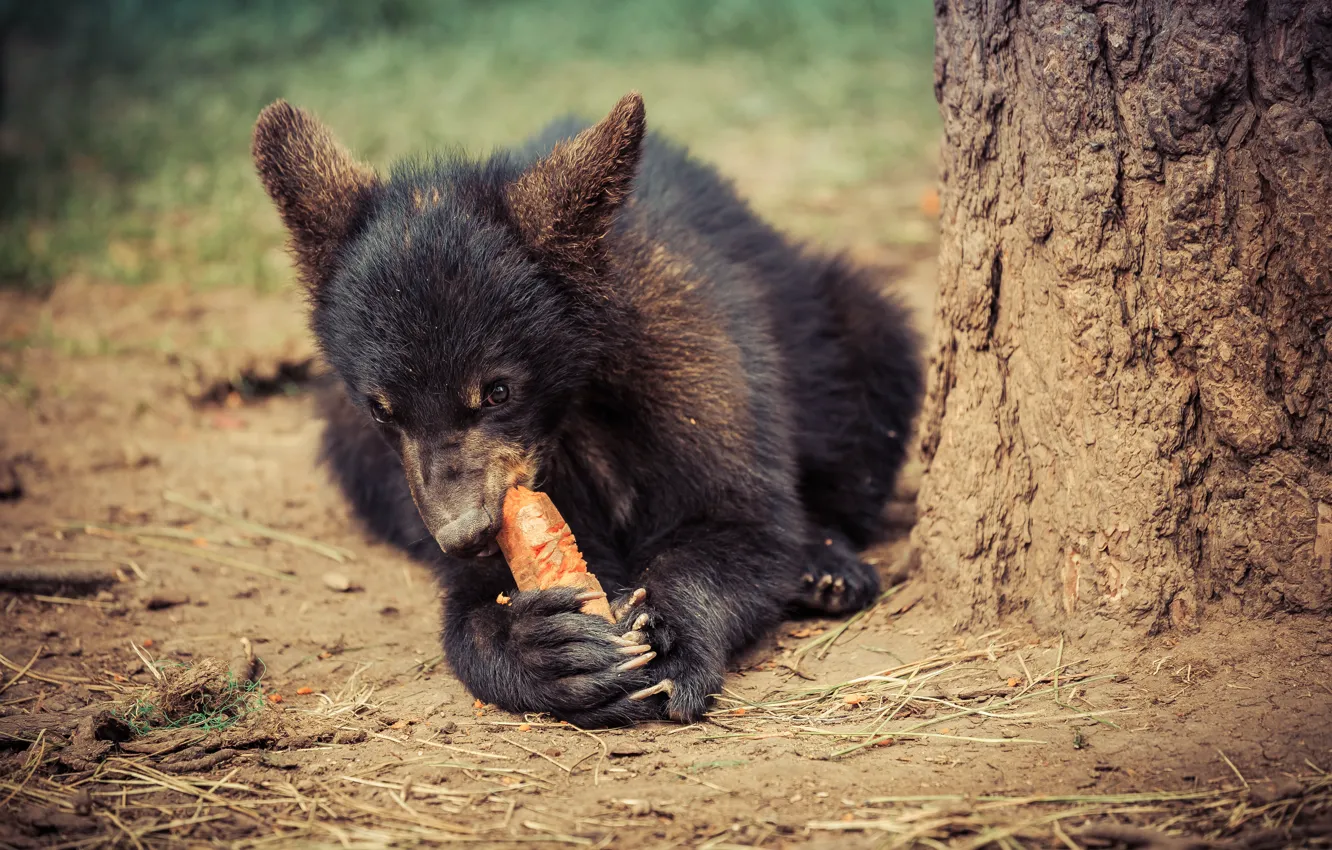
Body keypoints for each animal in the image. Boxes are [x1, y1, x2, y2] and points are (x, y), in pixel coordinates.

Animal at [251, 92, 922, 727]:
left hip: (843, 329)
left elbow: (741, 520)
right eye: (384, 410)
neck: (566, 410)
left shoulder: (689, 354)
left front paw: (670, 639)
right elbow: (478, 599)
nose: (464, 534)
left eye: (498, 390)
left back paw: (828, 566)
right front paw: (550, 650)